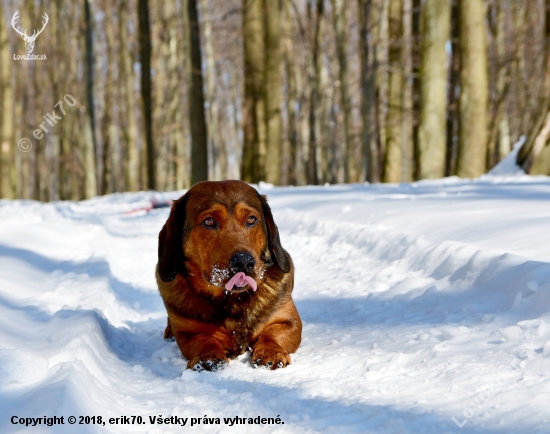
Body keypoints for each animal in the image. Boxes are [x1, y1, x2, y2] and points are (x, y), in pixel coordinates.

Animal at [155, 180, 304, 372]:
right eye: (209, 221)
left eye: (251, 219)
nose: (243, 262)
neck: (233, 299)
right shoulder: (188, 333)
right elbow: (203, 340)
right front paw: (208, 355)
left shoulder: (289, 321)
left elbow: (273, 333)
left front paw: (271, 351)